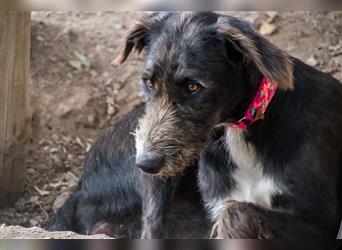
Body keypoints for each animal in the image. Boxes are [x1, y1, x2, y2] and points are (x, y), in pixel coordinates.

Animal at [49, 12, 340, 239]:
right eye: (148, 82)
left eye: (193, 87)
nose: (145, 163)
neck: (240, 132)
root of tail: (80, 187)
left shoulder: (324, 219)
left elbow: (236, 212)